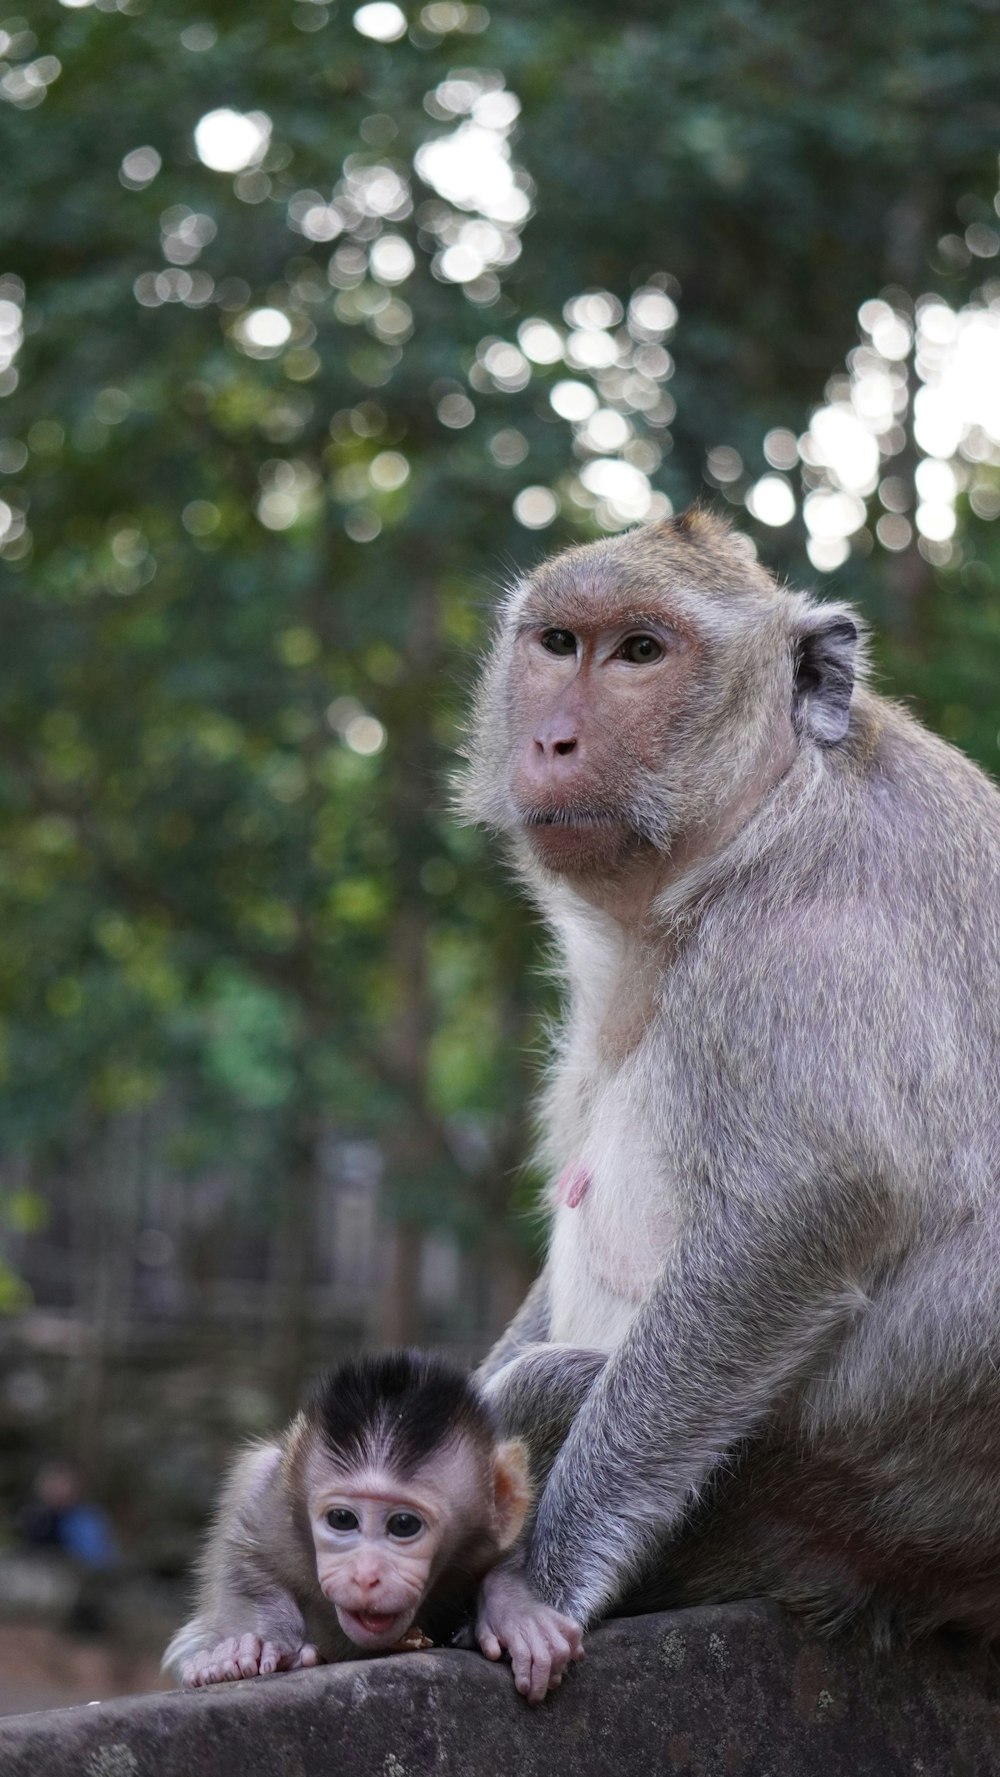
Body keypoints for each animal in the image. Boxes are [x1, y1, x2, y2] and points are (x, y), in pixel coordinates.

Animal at [165, 1350, 586, 1698]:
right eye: (342, 1519)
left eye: (403, 1525)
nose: (365, 1575)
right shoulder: (270, 1510)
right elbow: (246, 1558)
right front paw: (245, 1650)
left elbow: (508, 1554)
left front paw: (517, 1616)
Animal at [458, 508, 1000, 1656]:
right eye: (558, 645)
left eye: (640, 653)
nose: (552, 740)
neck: (759, 822)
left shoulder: (815, 945)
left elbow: (807, 1204)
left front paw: (541, 1582)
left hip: (803, 1507)